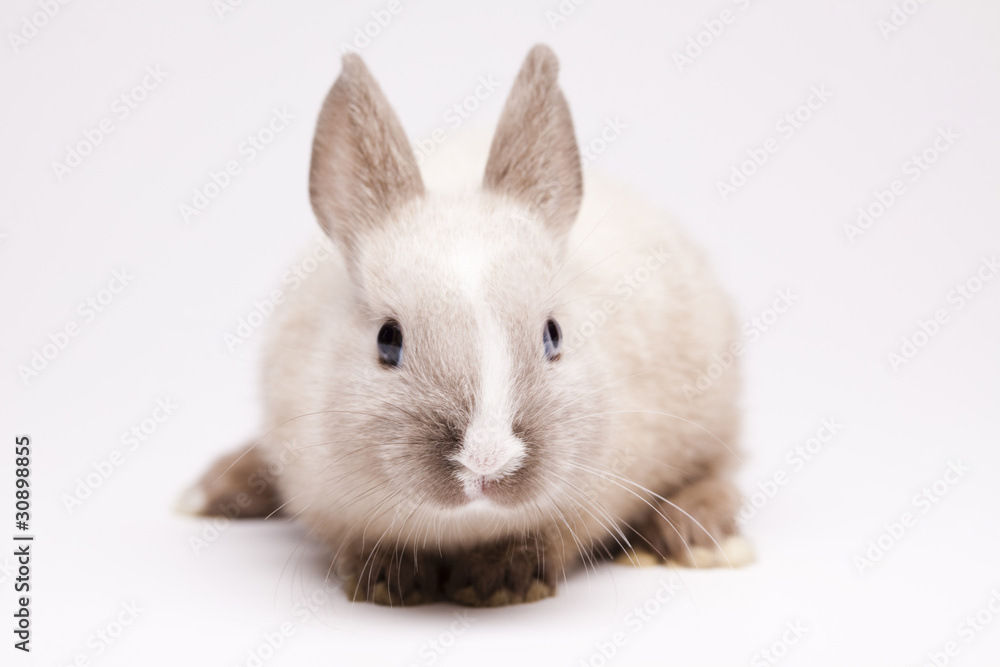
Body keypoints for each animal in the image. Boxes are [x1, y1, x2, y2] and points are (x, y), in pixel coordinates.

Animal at [182, 44, 752, 607]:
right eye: (387, 340)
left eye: (553, 335)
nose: (487, 461)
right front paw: (388, 582)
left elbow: (547, 540)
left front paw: (500, 582)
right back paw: (209, 492)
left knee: (716, 475)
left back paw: (699, 540)